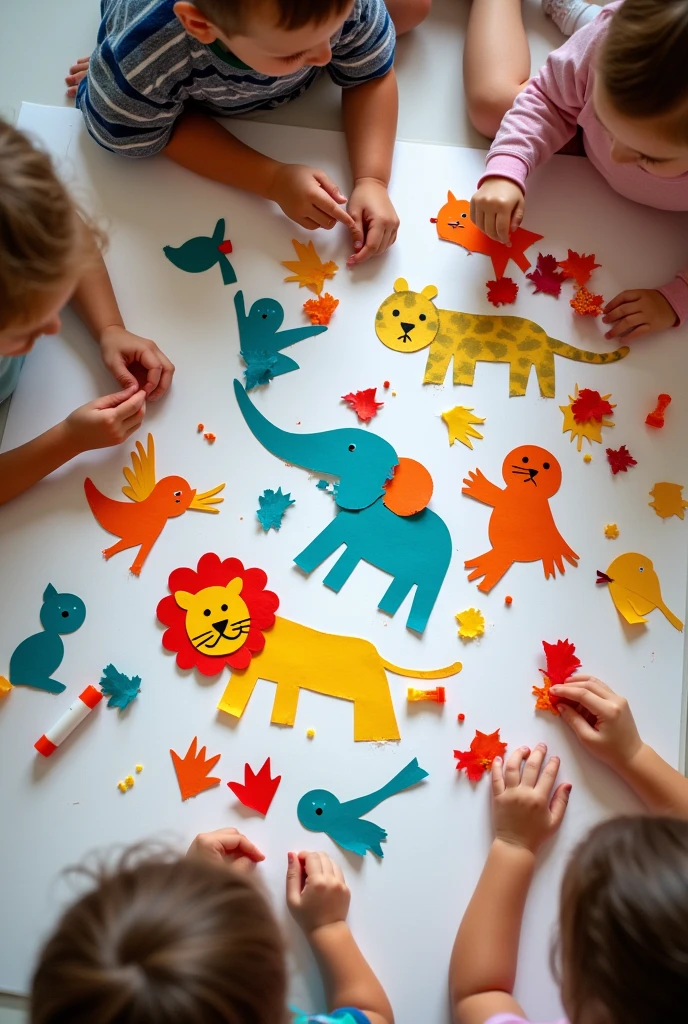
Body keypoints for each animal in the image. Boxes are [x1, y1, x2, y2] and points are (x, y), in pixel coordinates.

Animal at [376, 280, 630, 399]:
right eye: (395, 312)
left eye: (421, 317)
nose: (406, 327)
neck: (441, 321)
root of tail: (546, 336)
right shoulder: (451, 351)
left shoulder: (455, 350)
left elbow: (445, 369)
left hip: (531, 359)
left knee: (542, 378)